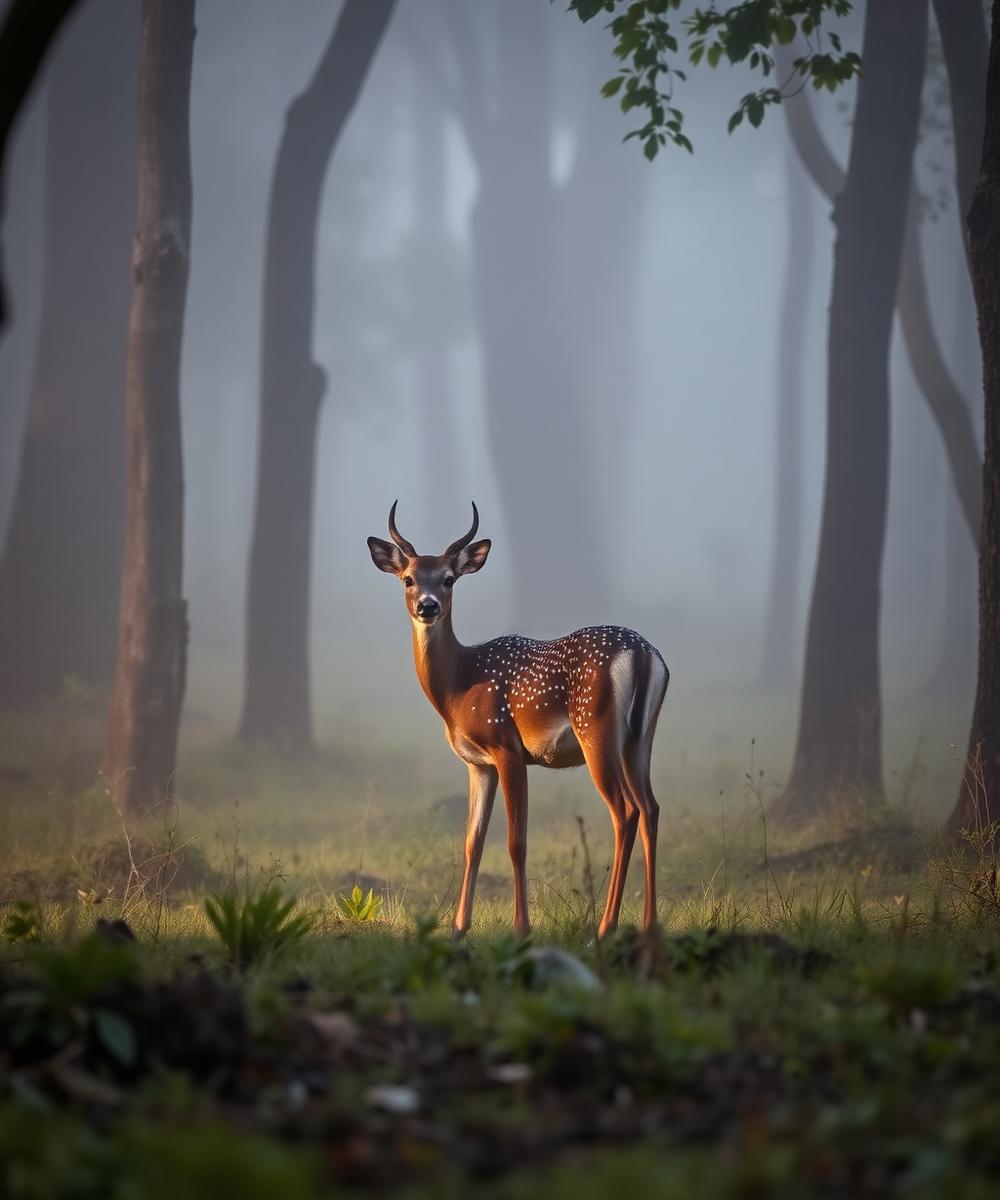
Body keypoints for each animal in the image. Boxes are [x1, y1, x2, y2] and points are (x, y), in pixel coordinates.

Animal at [367, 502, 669, 940]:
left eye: (448, 579)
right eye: (408, 578)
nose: (427, 606)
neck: (459, 686)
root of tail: (644, 655)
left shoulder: (506, 746)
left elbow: (515, 841)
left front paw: (521, 928)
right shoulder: (479, 765)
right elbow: (472, 841)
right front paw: (458, 928)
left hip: (596, 731)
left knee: (625, 812)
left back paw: (604, 928)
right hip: (640, 740)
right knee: (651, 808)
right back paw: (648, 925)